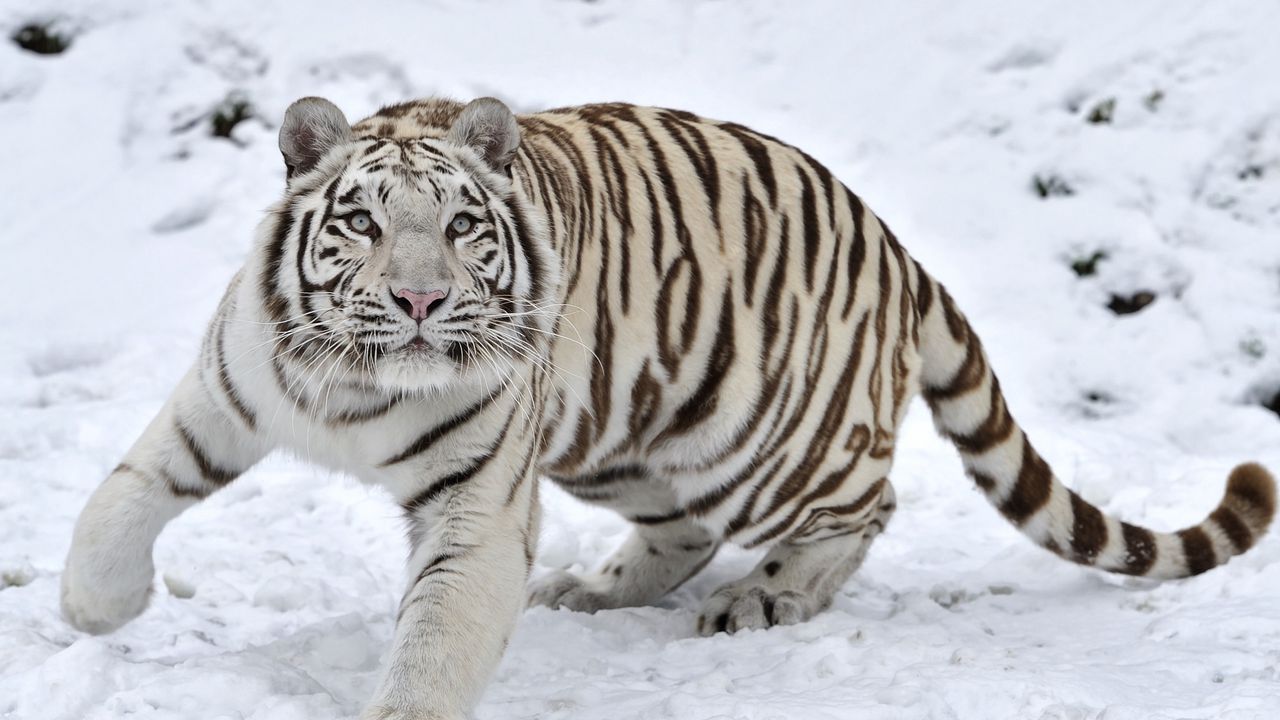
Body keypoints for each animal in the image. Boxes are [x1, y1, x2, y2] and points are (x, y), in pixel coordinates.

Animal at [61, 95, 1276, 720]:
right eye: (361, 222)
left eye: (459, 227)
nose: (419, 299)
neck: (359, 385)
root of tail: (898, 248)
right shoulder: (227, 392)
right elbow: (121, 495)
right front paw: (95, 612)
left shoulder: (476, 506)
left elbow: (435, 641)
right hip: (625, 436)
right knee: (681, 530)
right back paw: (593, 591)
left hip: (770, 441)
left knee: (865, 505)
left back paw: (765, 598)